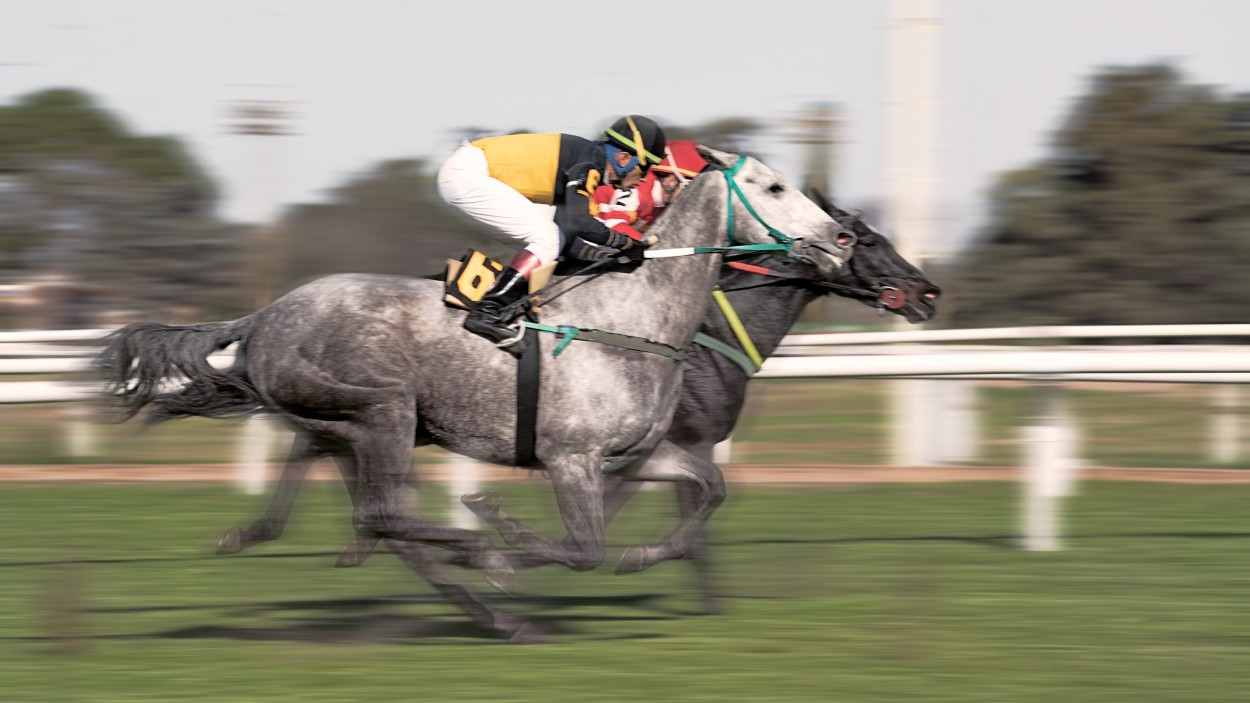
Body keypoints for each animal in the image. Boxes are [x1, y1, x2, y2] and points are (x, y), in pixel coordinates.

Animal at [97, 147, 865, 640]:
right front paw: (504, 540)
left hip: (344, 427)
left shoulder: (638, 454)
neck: (630, 319)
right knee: (385, 515)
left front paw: (642, 556)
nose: (840, 237)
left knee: (376, 518)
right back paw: (476, 550)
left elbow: (709, 491)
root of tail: (261, 317)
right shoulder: (570, 458)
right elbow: (583, 547)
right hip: (384, 411)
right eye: (772, 188)